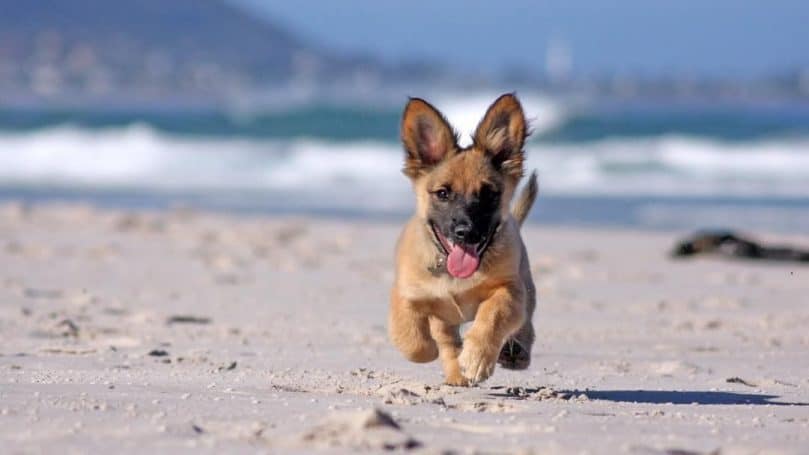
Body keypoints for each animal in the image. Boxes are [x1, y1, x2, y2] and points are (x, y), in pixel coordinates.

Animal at [390, 94, 536, 386]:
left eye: (489, 194)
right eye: (443, 193)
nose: (466, 232)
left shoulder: (510, 290)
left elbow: (493, 315)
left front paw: (477, 358)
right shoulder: (405, 294)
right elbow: (412, 338)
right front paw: (436, 351)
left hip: (527, 287)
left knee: (525, 324)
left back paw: (516, 352)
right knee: (446, 338)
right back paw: (456, 371)